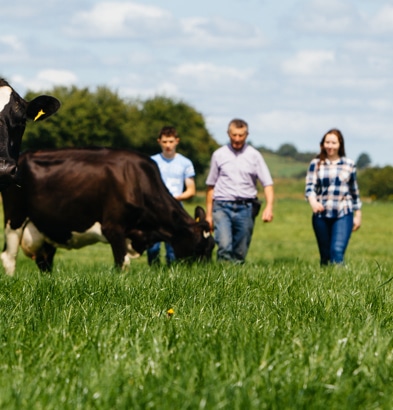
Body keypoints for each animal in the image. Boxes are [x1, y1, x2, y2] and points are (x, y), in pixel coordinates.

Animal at [0, 147, 214, 276]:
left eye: (211, 247)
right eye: (199, 246)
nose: (205, 275)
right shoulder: (113, 228)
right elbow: (122, 264)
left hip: (47, 228)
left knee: (44, 261)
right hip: (14, 219)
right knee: (9, 257)